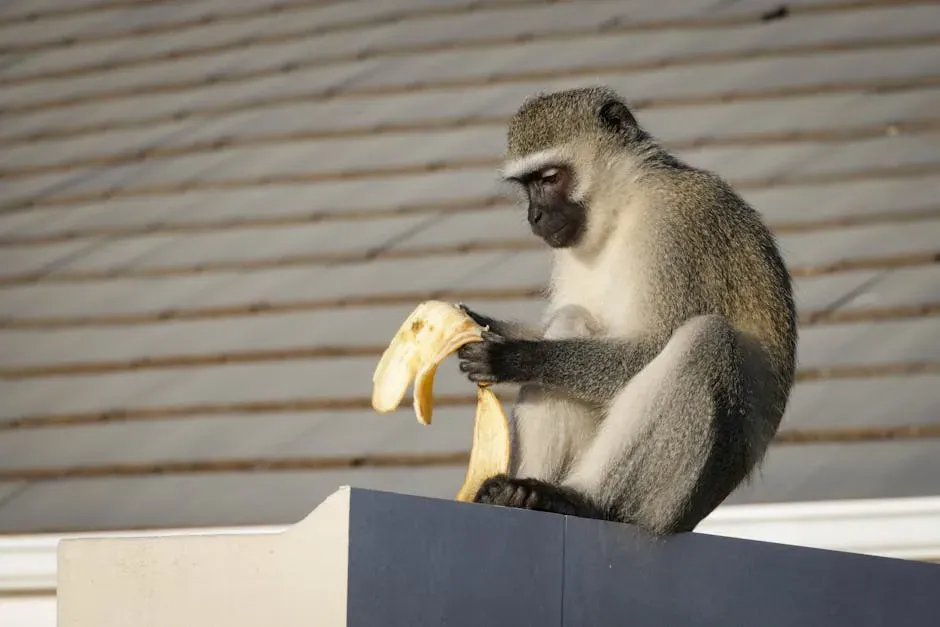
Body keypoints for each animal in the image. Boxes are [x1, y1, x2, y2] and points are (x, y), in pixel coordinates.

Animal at [455, 86, 797, 536]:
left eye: (549, 178)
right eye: (526, 185)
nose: (535, 215)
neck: (624, 204)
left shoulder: (675, 227)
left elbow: (650, 346)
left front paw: (514, 356)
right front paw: (489, 326)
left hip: (674, 504)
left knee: (705, 342)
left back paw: (580, 499)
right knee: (571, 319)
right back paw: (519, 493)